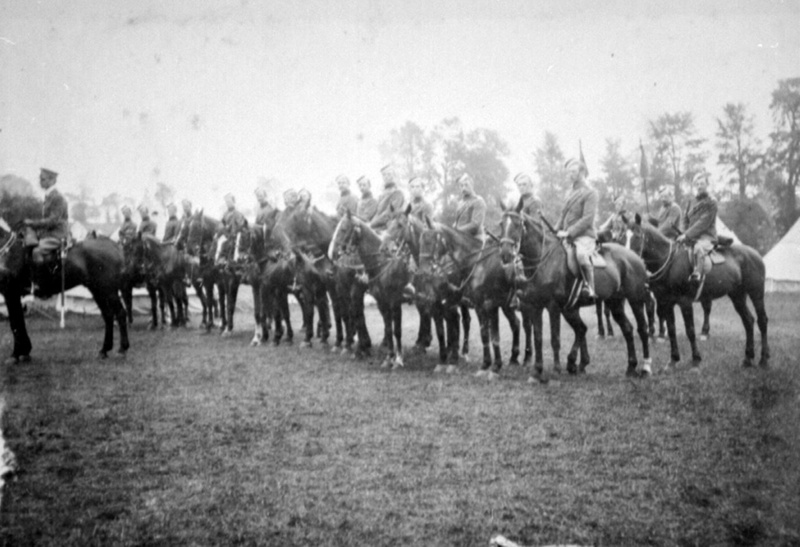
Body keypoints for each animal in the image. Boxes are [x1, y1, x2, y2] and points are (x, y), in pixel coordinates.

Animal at [504, 212, 652, 378]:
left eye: (517, 225)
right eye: (501, 224)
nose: (504, 254)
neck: (543, 259)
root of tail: (636, 258)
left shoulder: (554, 307)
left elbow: (556, 338)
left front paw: (558, 368)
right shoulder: (538, 306)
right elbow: (539, 337)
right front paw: (539, 369)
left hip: (636, 300)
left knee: (643, 329)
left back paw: (646, 367)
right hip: (615, 303)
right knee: (627, 329)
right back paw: (631, 367)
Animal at [620, 212, 764, 370]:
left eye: (637, 235)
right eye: (623, 237)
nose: (628, 260)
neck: (670, 263)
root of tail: (755, 254)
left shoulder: (685, 302)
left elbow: (690, 330)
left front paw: (696, 359)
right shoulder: (666, 303)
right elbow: (671, 330)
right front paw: (673, 360)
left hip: (756, 294)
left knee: (762, 320)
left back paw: (764, 358)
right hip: (737, 296)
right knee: (748, 321)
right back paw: (748, 358)